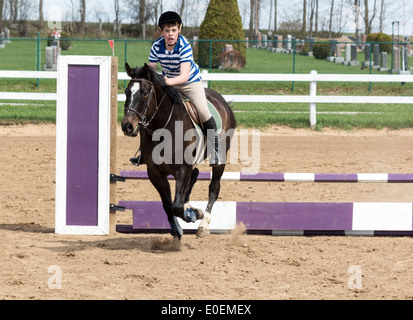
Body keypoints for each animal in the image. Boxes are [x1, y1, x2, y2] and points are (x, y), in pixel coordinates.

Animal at [120, 62, 235, 239]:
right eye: (126, 92)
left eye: (145, 93)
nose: (127, 126)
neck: (164, 127)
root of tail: (223, 101)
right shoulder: (155, 172)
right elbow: (168, 204)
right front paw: (177, 228)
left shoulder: (182, 168)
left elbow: (176, 205)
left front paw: (194, 214)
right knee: (194, 175)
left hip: (219, 159)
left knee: (214, 188)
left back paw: (204, 224)